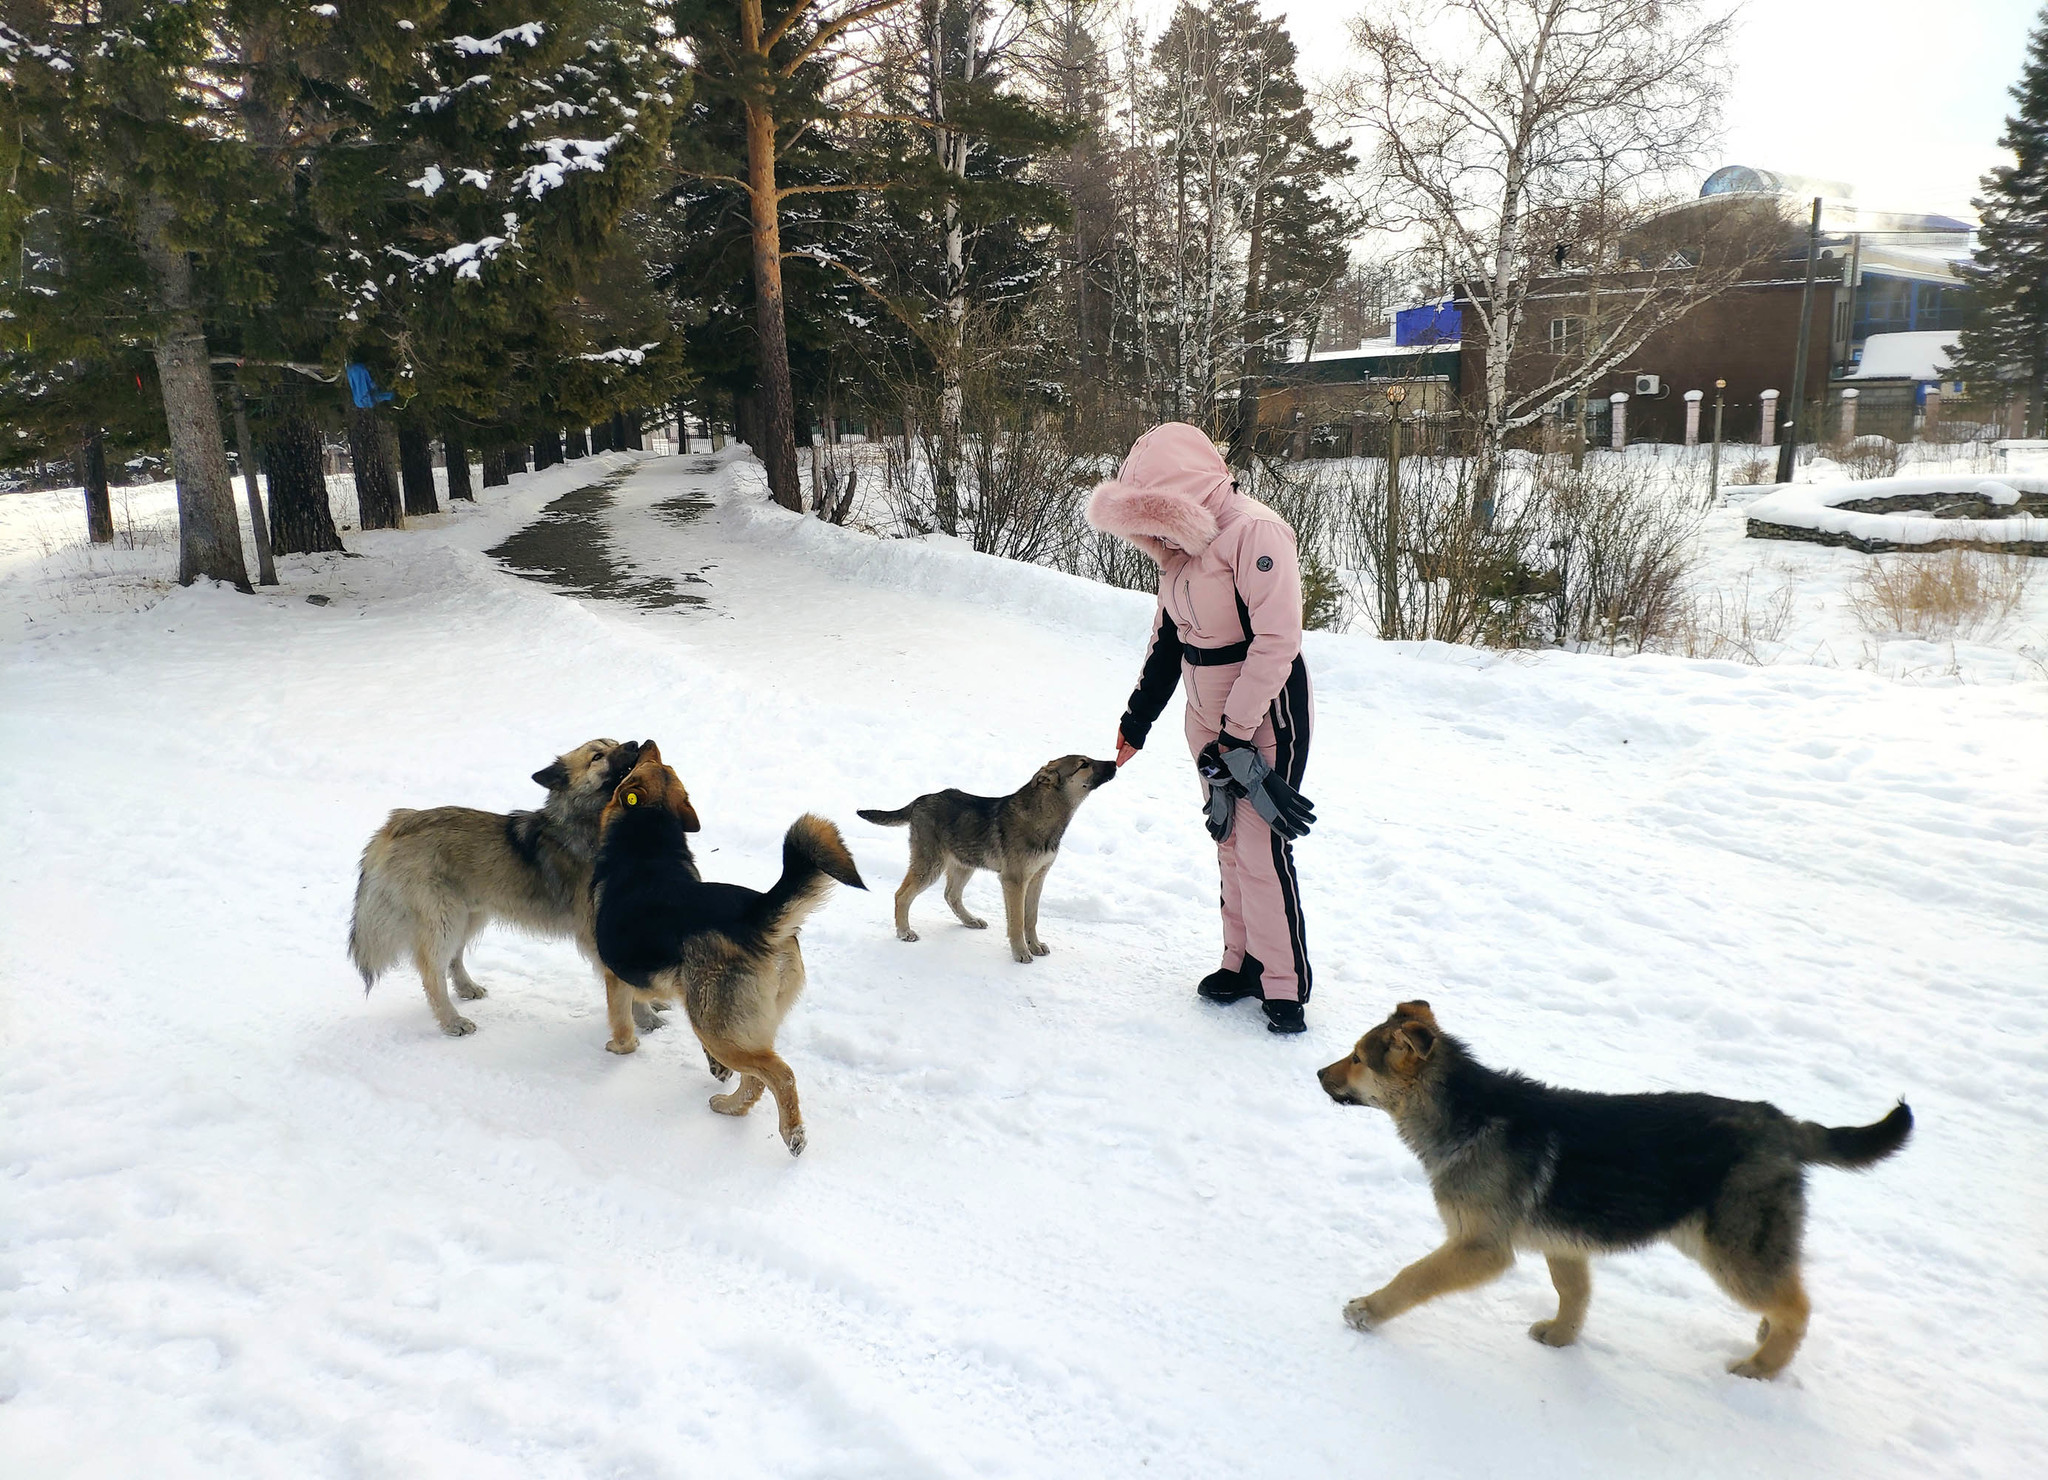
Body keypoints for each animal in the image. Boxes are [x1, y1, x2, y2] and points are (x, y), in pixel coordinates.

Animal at [348, 736, 659, 1035]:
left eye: (614, 742)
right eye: (597, 756)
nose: (635, 744)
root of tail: (397, 822)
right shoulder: (597, 930)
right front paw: (645, 1018)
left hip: (470, 915)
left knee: (453, 958)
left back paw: (466, 988)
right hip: (444, 918)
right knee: (432, 973)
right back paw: (452, 1021)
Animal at [589, 741, 860, 1154]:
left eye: (643, 764)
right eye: (662, 765)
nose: (645, 742)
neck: (648, 840)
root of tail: (755, 919)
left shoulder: (614, 976)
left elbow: (621, 1021)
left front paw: (620, 1048)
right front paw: (715, 1070)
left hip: (716, 1026)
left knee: (779, 1073)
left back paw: (792, 1132)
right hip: (743, 1021)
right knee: (756, 1079)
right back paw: (731, 1107)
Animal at [860, 757, 1130, 966]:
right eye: (1084, 764)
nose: (1115, 762)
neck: (1043, 814)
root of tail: (919, 801)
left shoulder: (1037, 878)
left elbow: (1031, 918)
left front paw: (1034, 945)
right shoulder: (1014, 880)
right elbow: (1017, 921)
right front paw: (1021, 952)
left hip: (964, 862)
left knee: (951, 895)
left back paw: (969, 920)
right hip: (930, 864)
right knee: (902, 895)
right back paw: (904, 932)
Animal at [1318, 1003, 1908, 1383]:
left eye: (1357, 1057)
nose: (1319, 1072)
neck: (1465, 1112)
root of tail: (1784, 1125)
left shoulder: (1479, 1247)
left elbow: (1413, 1277)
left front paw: (1366, 1311)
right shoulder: (1561, 1242)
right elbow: (1573, 1294)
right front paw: (1562, 1339)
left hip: (1731, 1251)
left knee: (1799, 1309)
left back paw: (1760, 1368)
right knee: (1785, 1298)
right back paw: (1764, 1339)